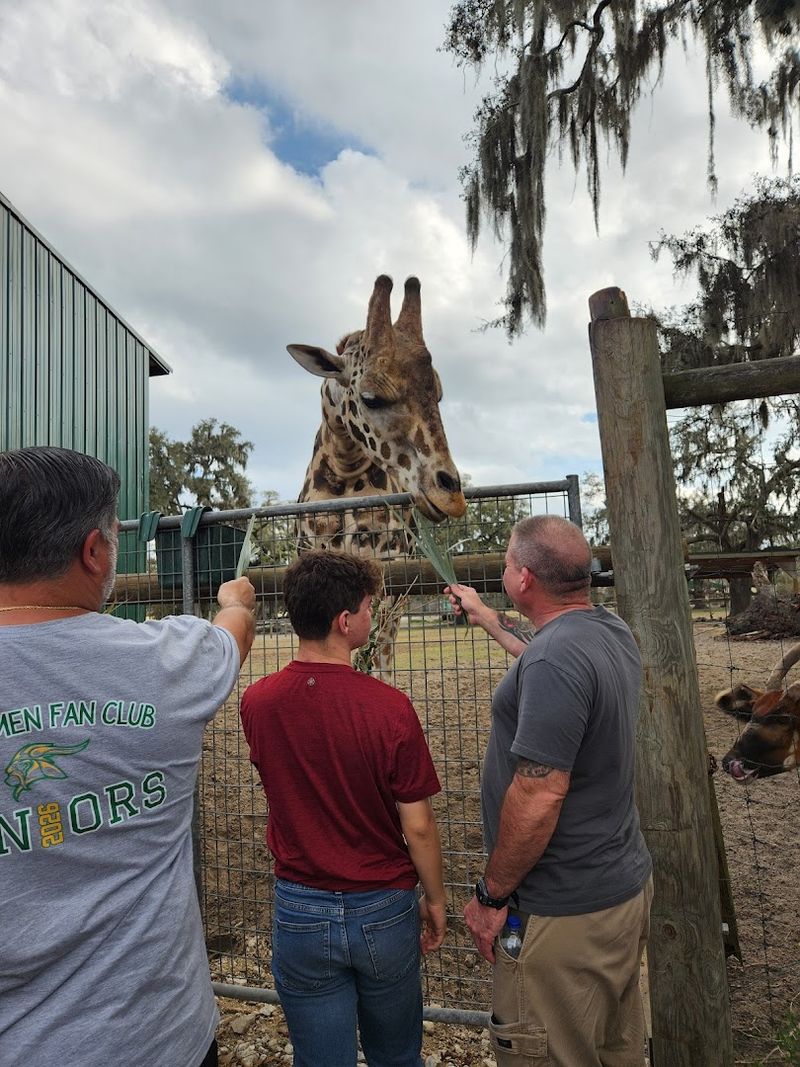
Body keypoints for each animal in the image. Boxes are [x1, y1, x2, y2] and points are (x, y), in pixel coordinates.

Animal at [287, 273, 467, 671]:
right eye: (371, 398)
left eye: (439, 393)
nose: (451, 495)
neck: (342, 472)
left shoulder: (384, 573)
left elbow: (372, 657)